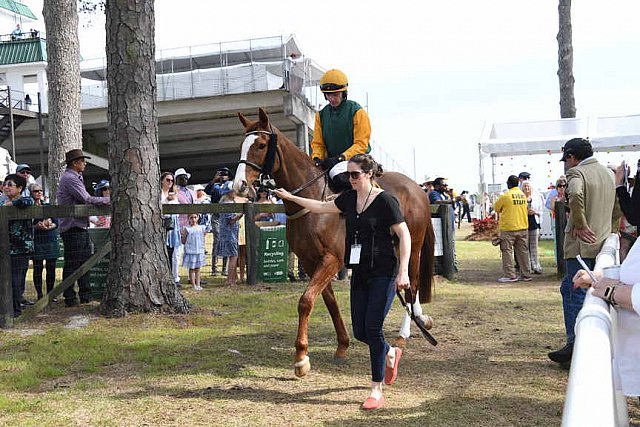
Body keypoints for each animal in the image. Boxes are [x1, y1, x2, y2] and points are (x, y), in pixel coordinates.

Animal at [235, 108, 436, 376]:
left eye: (260, 144)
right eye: (242, 145)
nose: (239, 185)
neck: (313, 203)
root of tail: (417, 188)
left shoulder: (331, 259)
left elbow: (305, 301)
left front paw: (301, 358)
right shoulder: (311, 261)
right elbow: (328, 301)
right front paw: (342, 345)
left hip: (411, 247)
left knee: (410, 284)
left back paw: (405, 332)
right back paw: (419, 319)